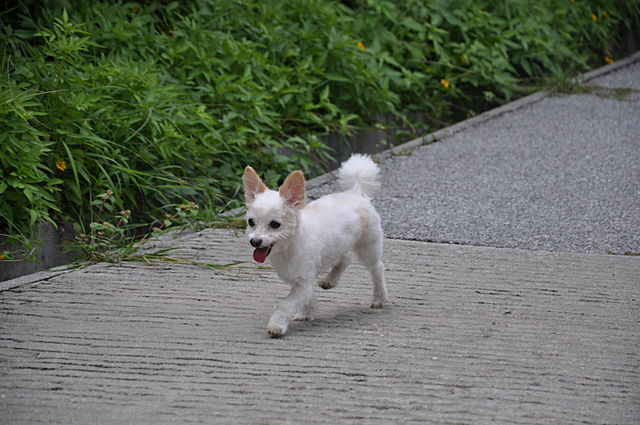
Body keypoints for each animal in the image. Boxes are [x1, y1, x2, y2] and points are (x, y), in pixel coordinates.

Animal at [242, 154, 387, 337]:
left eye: (275, 224)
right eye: (251, 222)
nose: (255, 241)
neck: (289, 246)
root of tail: (356, 194)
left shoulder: (302, 281)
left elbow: (285, 305)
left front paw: (277, 325)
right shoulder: (303, 280)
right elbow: (309, 297)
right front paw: (307, 313)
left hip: (368, 246)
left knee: (377, 268)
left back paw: (379, 298)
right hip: (340, 244)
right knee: (345, 260)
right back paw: (330, 280)